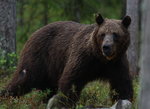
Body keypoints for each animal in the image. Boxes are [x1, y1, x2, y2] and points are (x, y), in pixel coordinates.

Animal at [0, 13, 133, 108]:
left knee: (47, 89)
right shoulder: (83, 59)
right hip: (38, 57)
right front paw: (64, 103)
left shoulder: (117, 63)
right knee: (24, 78)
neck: (100, 59)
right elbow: (71, 80)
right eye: (103, 34)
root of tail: (34, 32)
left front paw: (124, 100)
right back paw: (6, 97)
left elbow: (122, 85)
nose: (106, 47)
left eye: (115, 34)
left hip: (51, 69)